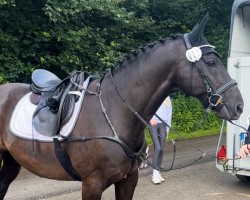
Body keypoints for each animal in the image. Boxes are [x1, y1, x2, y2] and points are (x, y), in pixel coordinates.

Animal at [0, 14, 244, 200]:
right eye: (211, 62)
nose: (239, 106)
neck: (114, 111)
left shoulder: (128, 180)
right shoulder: (92, 184)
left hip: (11, 162)